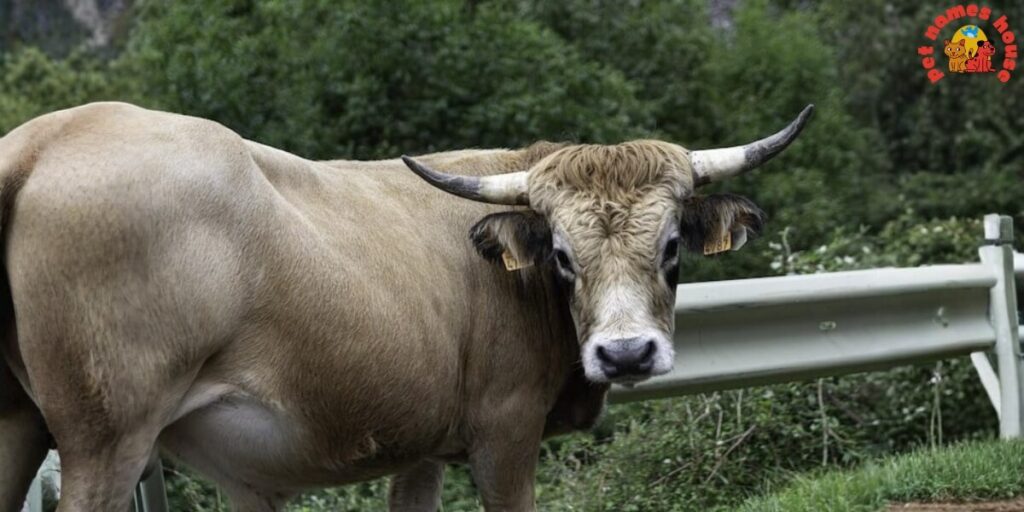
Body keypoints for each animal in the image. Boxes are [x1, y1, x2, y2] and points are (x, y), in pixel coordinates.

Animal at [0, 101, 812, 511]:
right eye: (562, 255)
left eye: (673, 245)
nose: (625, 353)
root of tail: (42, 138)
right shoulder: (505, 433)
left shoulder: (420, 444)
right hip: (107, 439)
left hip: (19, 428)